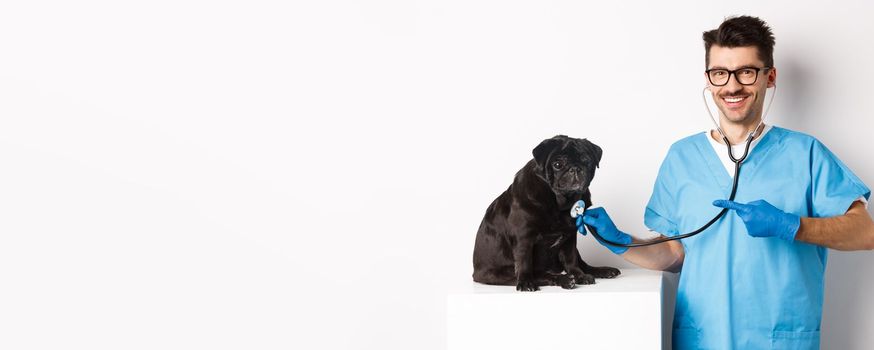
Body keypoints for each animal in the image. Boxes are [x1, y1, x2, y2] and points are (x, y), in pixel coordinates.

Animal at [470, 135, 620, 292]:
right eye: (558, 164)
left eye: (586, 160)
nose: (575, 168)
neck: (559, 202)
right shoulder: (524, 238)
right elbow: (524, 263)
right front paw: (525, 282)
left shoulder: (569, 237)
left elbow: (571, 259)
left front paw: (579, 275)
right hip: (500, 273)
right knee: (540, 275)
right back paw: (563, 279)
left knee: (580, 264)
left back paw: (600, 271)